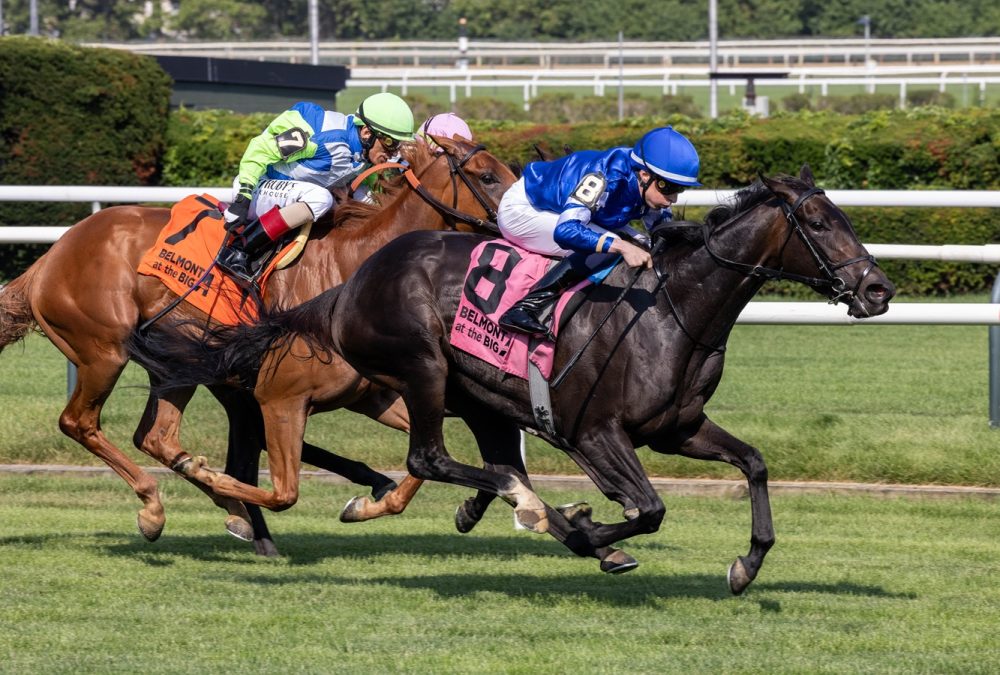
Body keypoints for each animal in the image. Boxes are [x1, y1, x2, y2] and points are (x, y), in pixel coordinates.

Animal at [0, 137, 516, 556]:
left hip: (174, 367)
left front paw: (442, 506)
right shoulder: (278, 392)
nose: (524, 222)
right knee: (80, 422)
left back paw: (220, 506)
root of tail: (48, 259)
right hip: (103, 352)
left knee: (156, 436)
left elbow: (426, 459)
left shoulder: (372, 393)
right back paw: (156, 508)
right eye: (487, 175)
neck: (352, 265)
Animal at [137, 168, 896, 592]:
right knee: (432, 457)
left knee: (490, 461)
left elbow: (756, 464)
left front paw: (746, 565)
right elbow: (648, 508)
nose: (878, 289)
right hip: (424, 368)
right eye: (820, 220)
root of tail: (346, 285)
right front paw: (589, 529)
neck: (670, 313)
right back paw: (530, 509)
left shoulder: (677, 429)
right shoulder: (594, 432)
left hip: (483, 398)